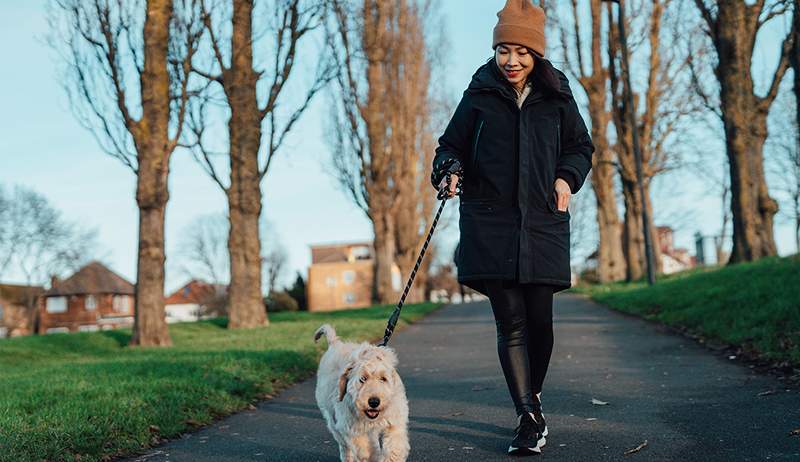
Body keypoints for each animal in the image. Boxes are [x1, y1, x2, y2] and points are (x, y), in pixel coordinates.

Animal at [314, 324, 410, 462]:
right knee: (344, 445)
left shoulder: (394, 423)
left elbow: (394, 448)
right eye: (363, 379)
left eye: (383, 379)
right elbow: (366, 450)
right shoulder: (351, 427)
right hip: (332, 419)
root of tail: (335, 343)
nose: (374, 402)